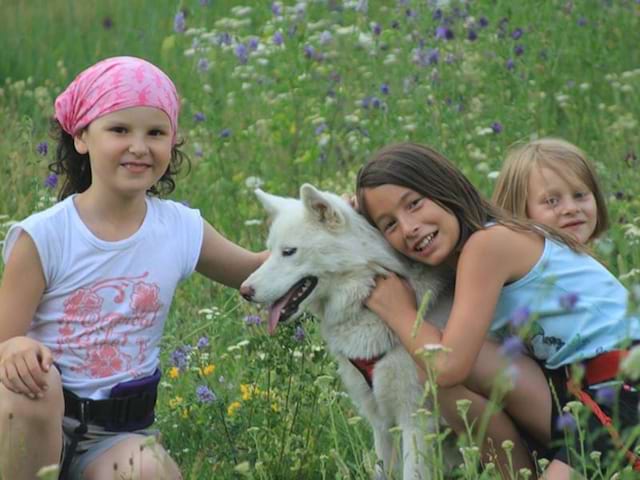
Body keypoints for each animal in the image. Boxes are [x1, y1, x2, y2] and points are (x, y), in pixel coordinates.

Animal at [240, 184, 456, 480]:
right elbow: (380, 471)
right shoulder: (382, 423)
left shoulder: (415, 421)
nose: (244, 291)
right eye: (270, 251)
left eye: (289, 251)